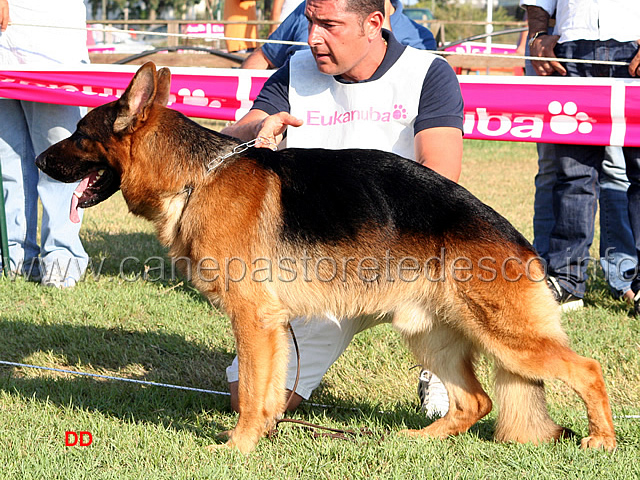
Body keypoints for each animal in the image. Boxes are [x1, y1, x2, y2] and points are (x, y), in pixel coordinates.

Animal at [35, 62, 616, 450]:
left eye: (80, 135)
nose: (39, 160)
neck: (195, 176)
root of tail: (516, 239)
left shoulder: (252, 319)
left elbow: (250, 391)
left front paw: (236, 449)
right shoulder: (269, 327)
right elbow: (266, 392)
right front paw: (261, 437)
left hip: (508, 338)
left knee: (587, 369)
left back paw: (602, 441)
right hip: (431, 337)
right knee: (478, 401)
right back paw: (418, 442)